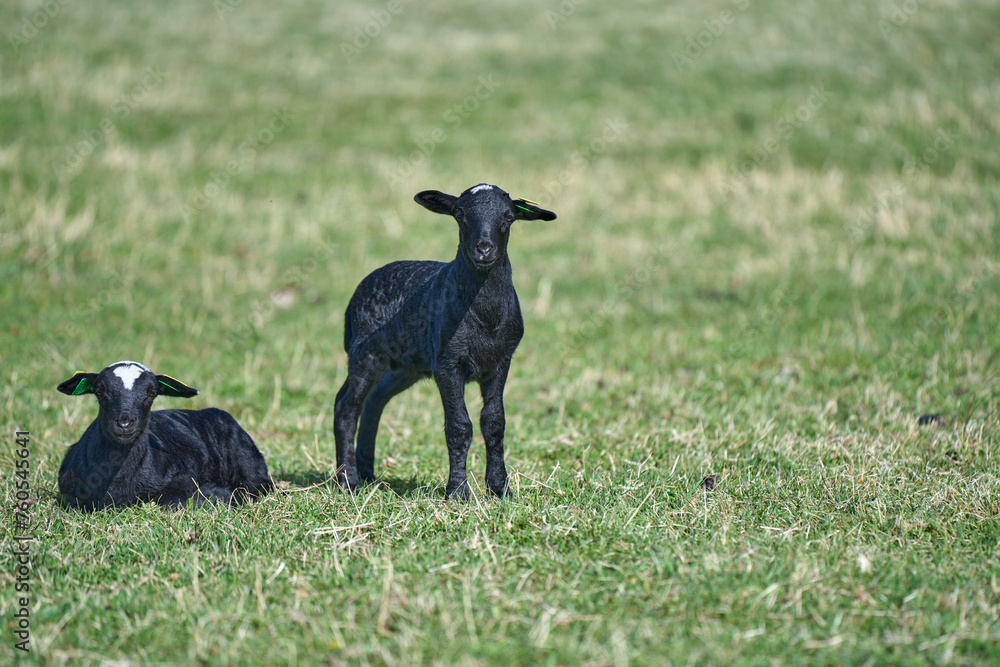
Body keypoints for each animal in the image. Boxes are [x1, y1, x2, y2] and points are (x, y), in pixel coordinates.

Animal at [57, 361, 273, 511]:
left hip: (250, 465)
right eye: (100, 391)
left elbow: (171, 502)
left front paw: (216, 493)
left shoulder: (182, 478)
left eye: (151, 392)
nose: (125, 423)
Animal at [333, 183, 556, 499]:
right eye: (460, 214)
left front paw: (499, 489)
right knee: (346, 406)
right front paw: (458, 492)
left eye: (509, 216)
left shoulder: (501, 361)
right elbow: (459, 426)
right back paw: (347, 480)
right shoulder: (448, 363)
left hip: (406, 366)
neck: (485, 316)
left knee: (375, 400)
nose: (484, 249)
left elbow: (494, 422)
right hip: (364, 354)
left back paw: (367, 474)